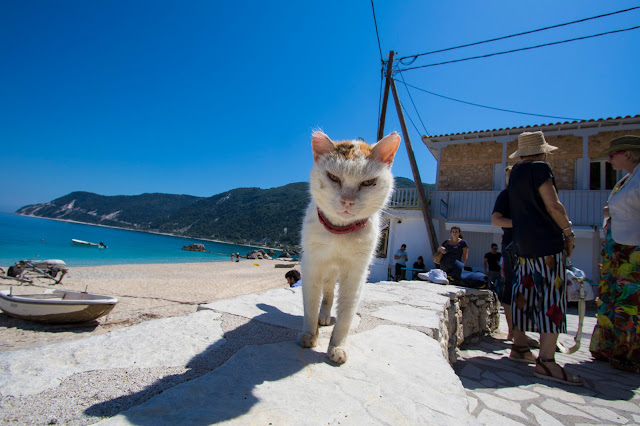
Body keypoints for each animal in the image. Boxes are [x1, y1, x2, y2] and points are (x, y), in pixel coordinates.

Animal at [296, 130, 400, 362]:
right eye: (334, 177)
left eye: (368, 182)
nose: (347, 201)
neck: (340, 232)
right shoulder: (312, 265)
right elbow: (310, 304)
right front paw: (309, 334)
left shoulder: (356, 272)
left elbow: (346, 314)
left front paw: (337, 347)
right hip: (326, 269)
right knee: (326, 293)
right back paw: (323, 317)